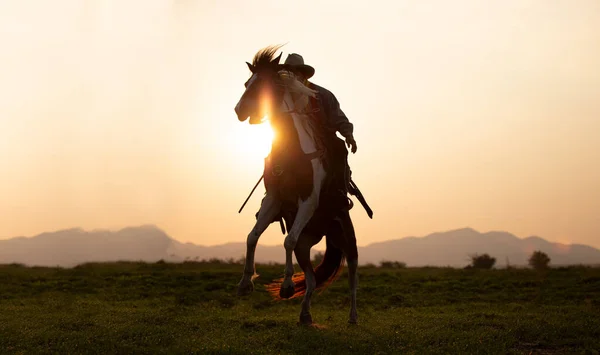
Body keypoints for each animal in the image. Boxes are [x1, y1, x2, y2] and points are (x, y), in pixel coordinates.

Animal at [233, 46, 356, 326]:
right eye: (247, 83)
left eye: (264, 85)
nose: (239, 110)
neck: (291, 151)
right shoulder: (274, 199)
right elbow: (252, 236)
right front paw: (245, 283)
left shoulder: (307, 201)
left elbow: (287, 240)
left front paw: (287, 285)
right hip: (306, 246)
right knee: (310, 280)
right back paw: (305, 314)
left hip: (347, 240)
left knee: (353, 277)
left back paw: (353, 316)